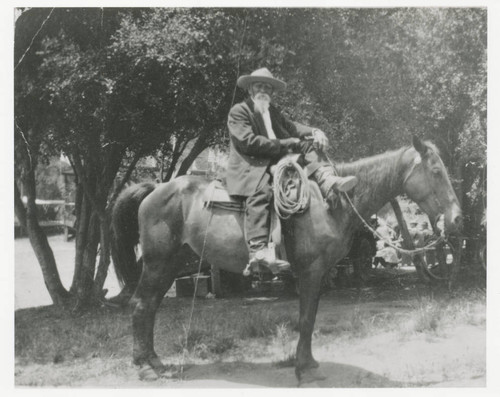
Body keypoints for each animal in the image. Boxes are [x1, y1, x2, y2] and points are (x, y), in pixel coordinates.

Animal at [109, 136, 460, 384]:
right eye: (436, 171)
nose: (456, 218)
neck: (331, 201)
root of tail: (154, 189)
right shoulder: (311, 271)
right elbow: (306, 319)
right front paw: (304, 370)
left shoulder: (318, 273)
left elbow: (311, 317)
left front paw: (308, 363)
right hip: (157, 262)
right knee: (141, 305)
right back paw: (145, 368)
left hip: (171, 264)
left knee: (150, 307)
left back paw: (154, 361)